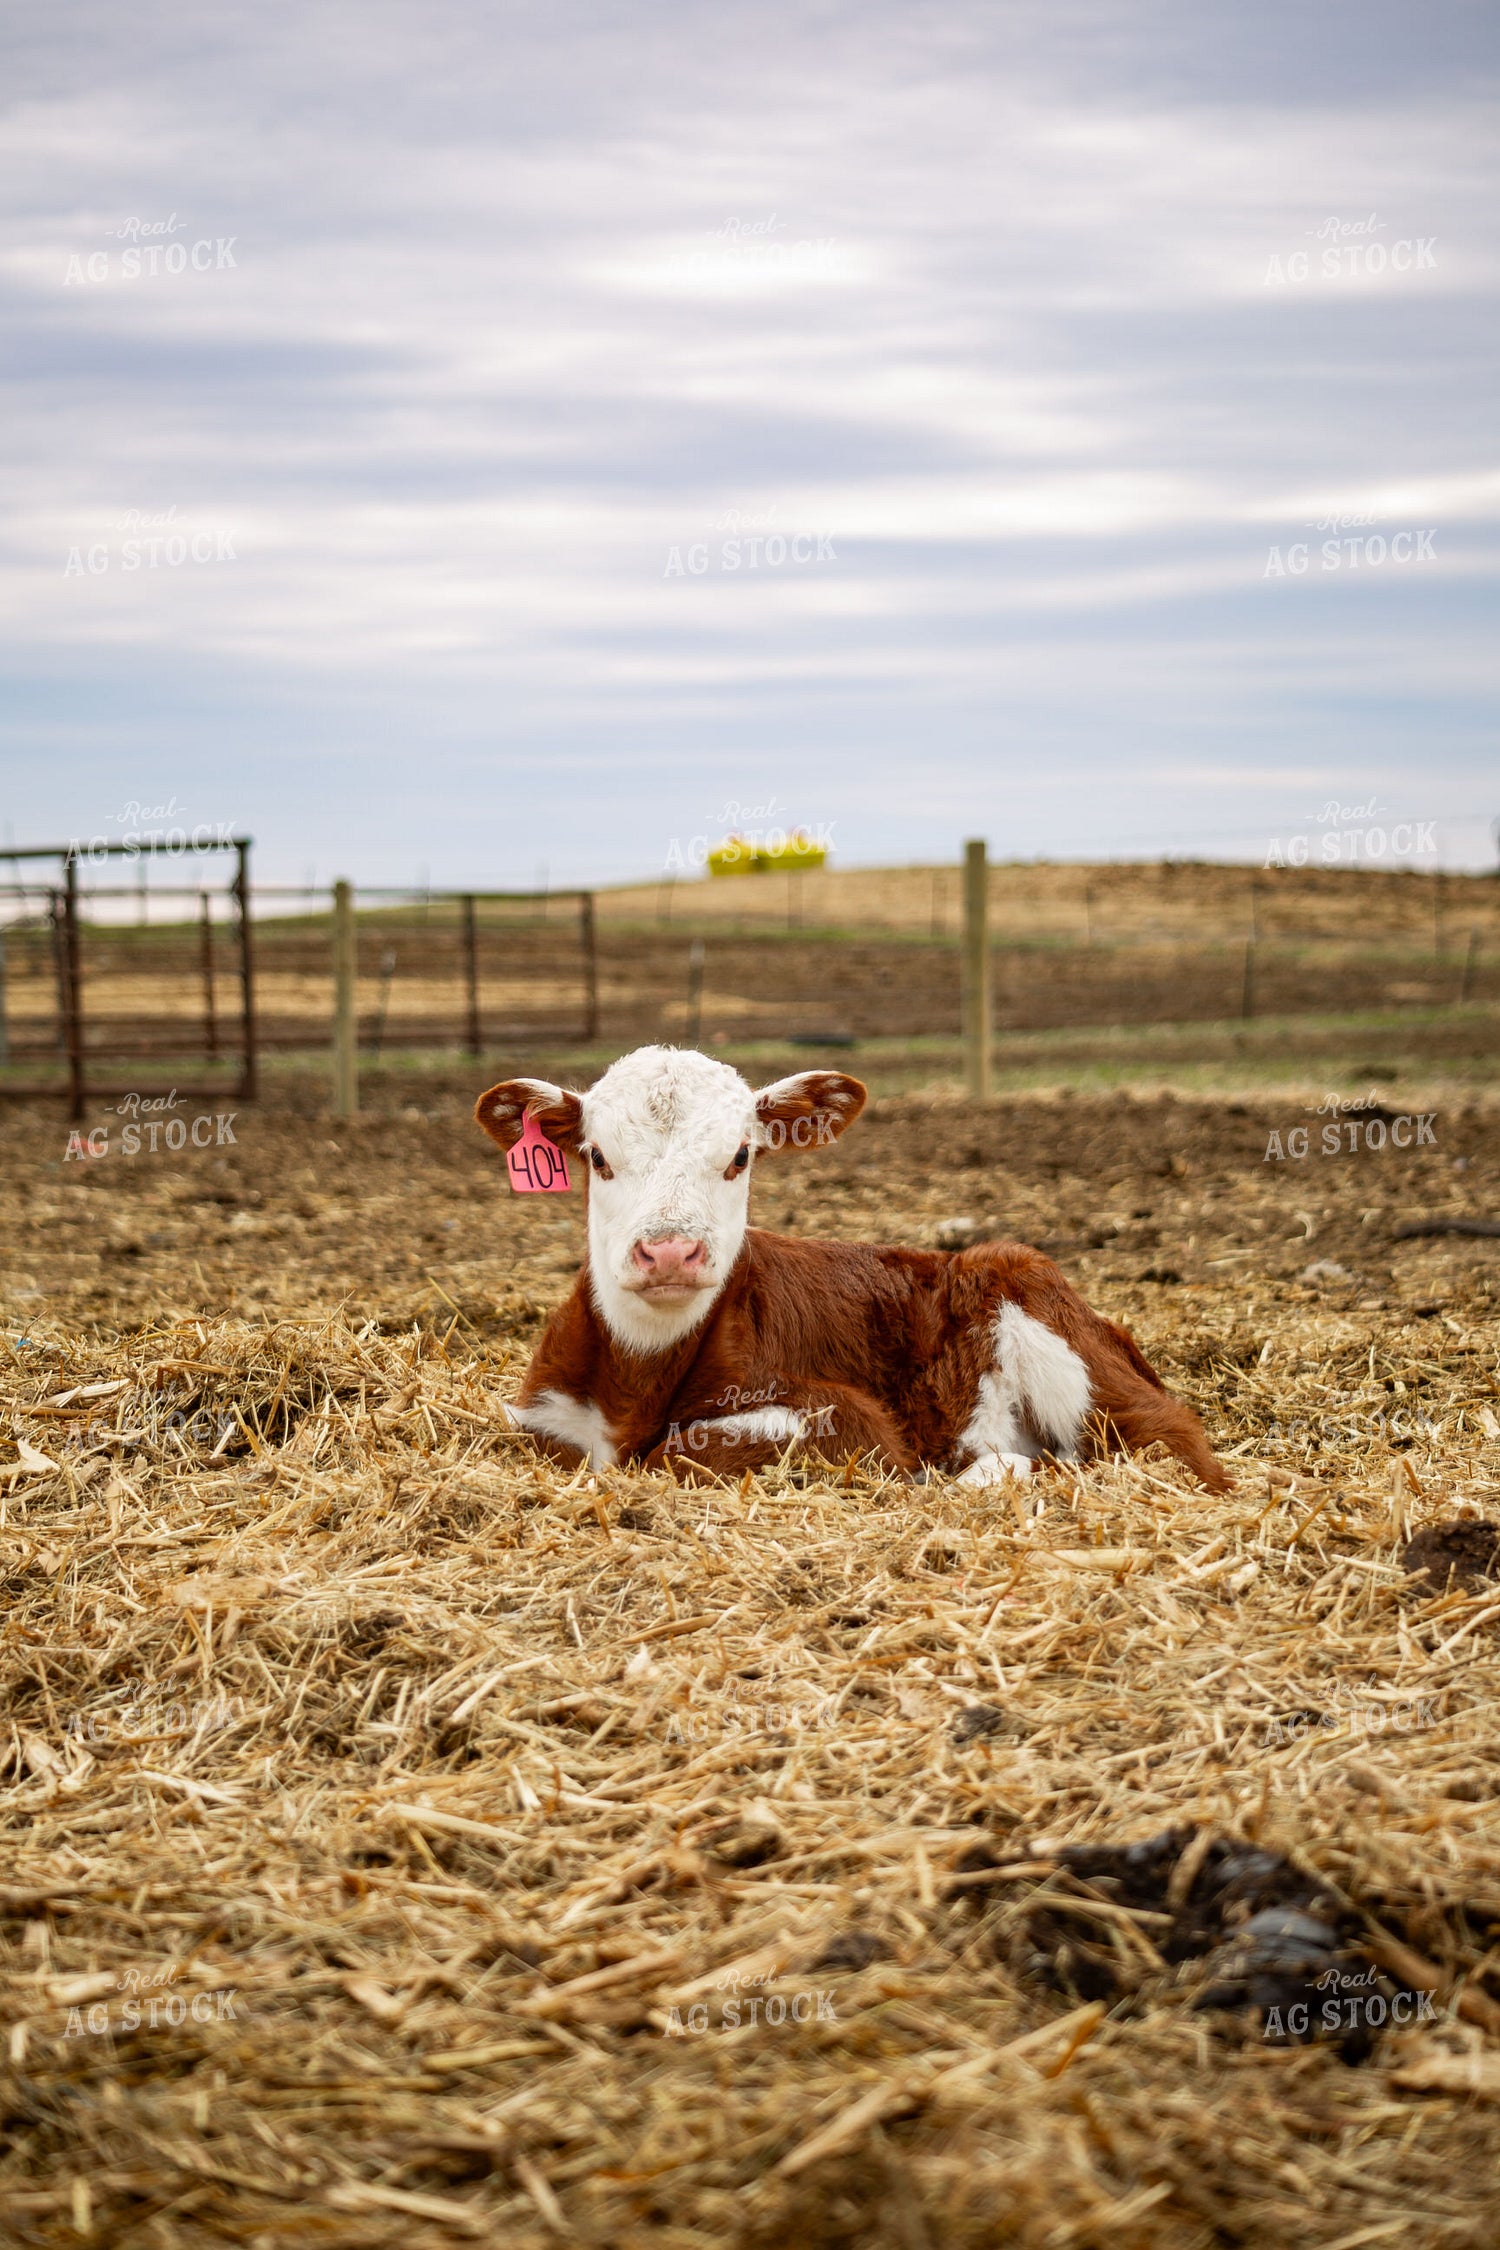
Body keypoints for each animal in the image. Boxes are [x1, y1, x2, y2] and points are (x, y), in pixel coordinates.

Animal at [475, 1045, 1231, 1493]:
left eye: (741, 1155)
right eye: (597, 1157)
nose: (668, 1252)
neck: (637, 1382)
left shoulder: (848, 1417)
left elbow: (682, 1449)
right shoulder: (538, 1416)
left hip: (1042, 1307)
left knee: (1168, 1444)